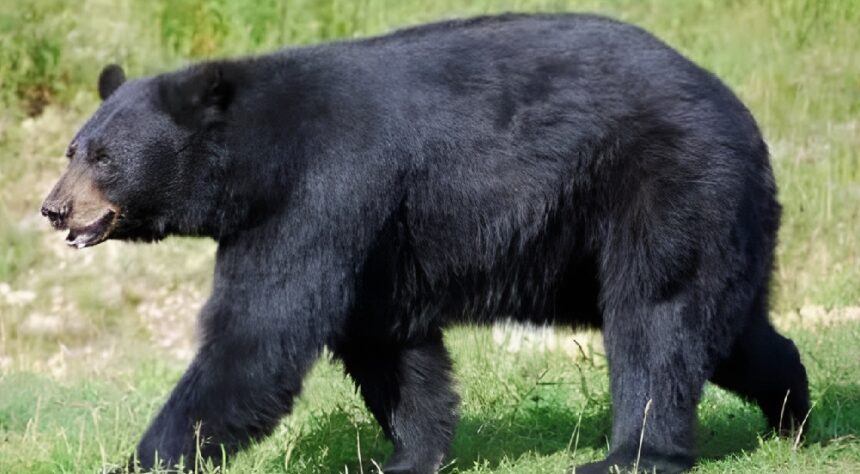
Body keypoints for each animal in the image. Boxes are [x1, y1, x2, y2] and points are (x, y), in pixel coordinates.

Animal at [40, 13, 810, 474]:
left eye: (104, 158)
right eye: (73, 149)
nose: (53, 208)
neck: (259, 160)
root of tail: (741, 114)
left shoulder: (322, 192)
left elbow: (257, 338)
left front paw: (145, 458)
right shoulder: (374, 240)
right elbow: (389, 348)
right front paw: (409, 455)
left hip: (666, 184)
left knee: (656, 317)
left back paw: (633, 453)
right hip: (705, 216)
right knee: (727, 327)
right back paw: (793, 411)